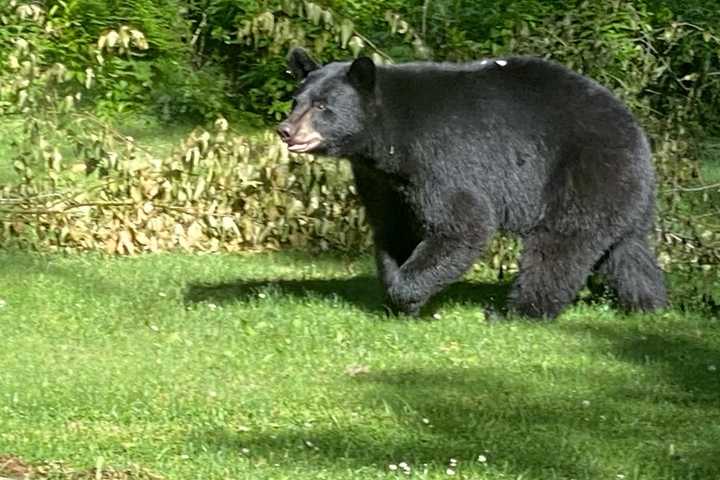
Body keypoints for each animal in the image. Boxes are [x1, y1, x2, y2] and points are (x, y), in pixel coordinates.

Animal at [278, 48, 668, 318]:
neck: (386, 138)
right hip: (620, 189)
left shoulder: (441, 158)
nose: (286, 130)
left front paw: (406, 295)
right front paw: (395, 293)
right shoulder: (381, 178)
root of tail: (633, 126)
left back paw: (519, 312)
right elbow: (393, 228)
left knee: (559, 247)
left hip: (581, 173)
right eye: (296, 100)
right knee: (625, 250)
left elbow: (463, 224)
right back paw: (648, 304)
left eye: (322, 106)